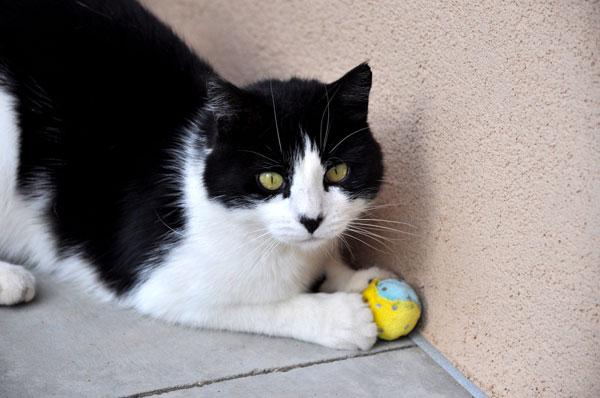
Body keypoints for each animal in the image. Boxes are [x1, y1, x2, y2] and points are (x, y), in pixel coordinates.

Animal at [0, 0, 394, 348]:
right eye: (270, 179)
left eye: (338, 171)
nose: (312, 220)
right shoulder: (161, 283)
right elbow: (259, 306)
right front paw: (338, 317)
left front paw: (356, 277)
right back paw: (11, 280)